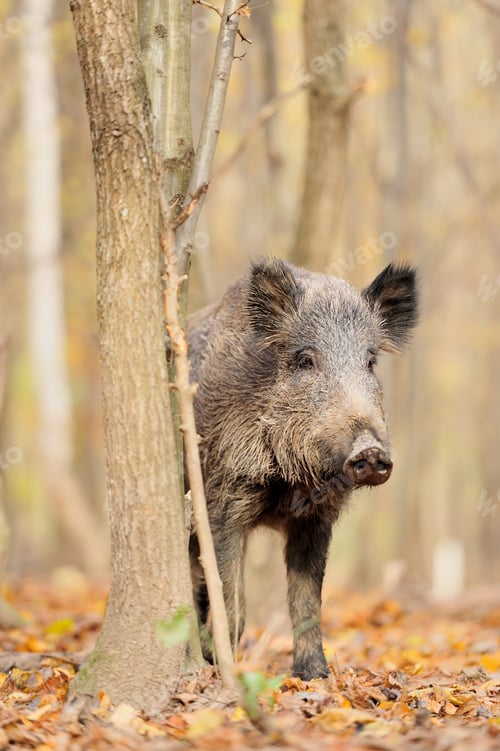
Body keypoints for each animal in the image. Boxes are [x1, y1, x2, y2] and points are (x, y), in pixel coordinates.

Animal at [186, 258, 418, 680]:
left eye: (371, 361)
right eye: (306, 360)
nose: (371, 450)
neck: (290, 482)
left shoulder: (316, 521)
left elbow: (308, 600)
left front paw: (315, 675)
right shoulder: (223, 501)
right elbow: (232, 602)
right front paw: (222, 668)